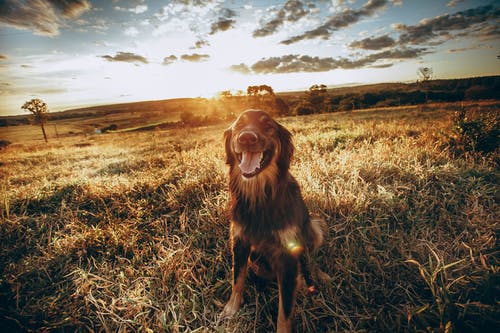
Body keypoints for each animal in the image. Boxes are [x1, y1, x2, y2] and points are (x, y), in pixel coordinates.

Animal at [222, 109, 324, 332]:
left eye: (268, 125)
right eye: (239, 125)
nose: (246, 137)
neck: (260, 196)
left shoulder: (288, 255)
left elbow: (284, 311)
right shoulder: (239, 241)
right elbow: (237, 278)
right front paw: (231, 309)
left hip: (315, 225)